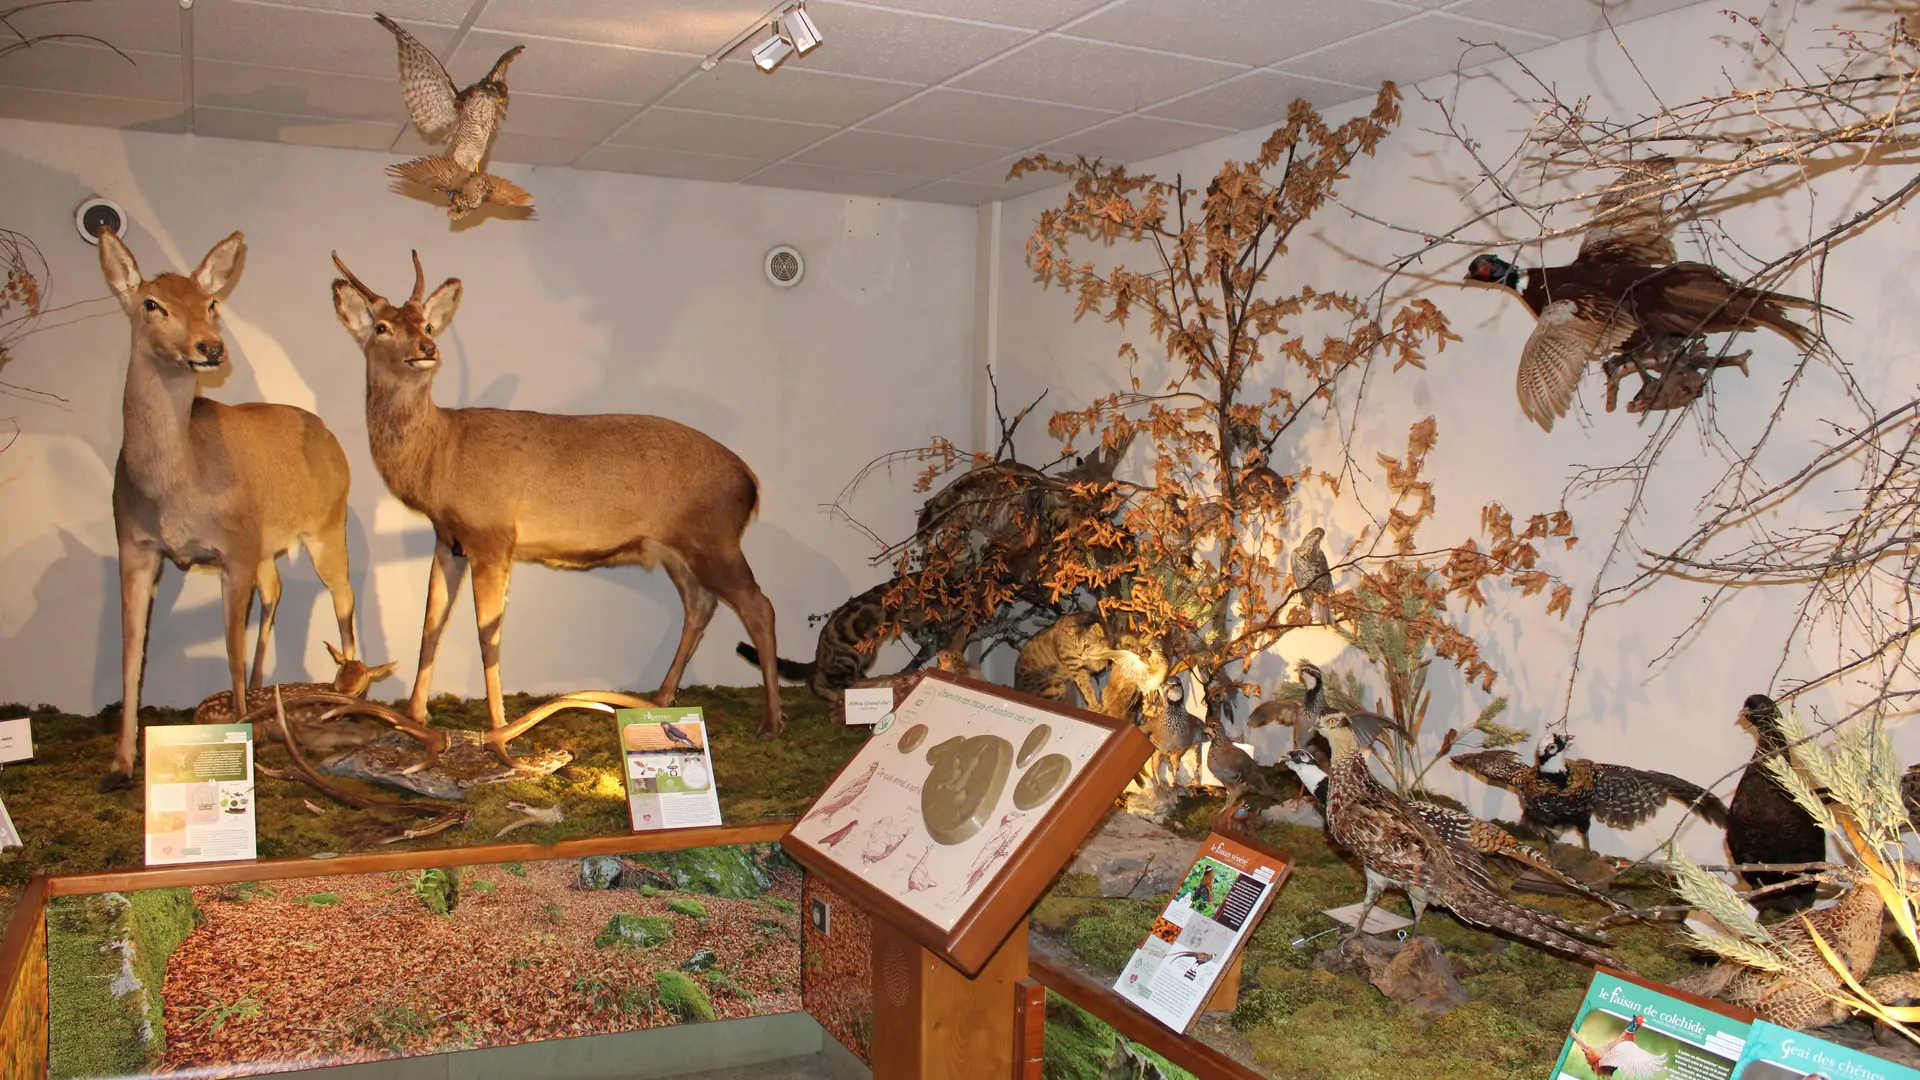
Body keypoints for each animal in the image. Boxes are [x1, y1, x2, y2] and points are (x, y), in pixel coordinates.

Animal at [99, 228, 359, 791]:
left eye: (210, 303)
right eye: (151, 303)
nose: (210, 347)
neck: (175, 488)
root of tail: (331, 436)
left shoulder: (232, 551)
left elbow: (230, 651)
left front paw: (241, 750)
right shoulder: (134, 547)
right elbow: (130, 652)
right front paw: (120, 765)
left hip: (327, 526)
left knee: (343, 599)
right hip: (265, 545)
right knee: (276, 590)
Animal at [330, 249, 787, 737]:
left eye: (427, 325)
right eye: (382, 327)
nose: (425, 350)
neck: (438, 458)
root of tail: (751, 483)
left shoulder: (493, 534)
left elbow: (487, 633)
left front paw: (499, 725)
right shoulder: (448, 539)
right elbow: (430, 625)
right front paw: (415, 716)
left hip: (714, 538)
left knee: (759, 606)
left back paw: (771, 720)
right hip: (676, 550)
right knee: (701, 605)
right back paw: (663, 697)